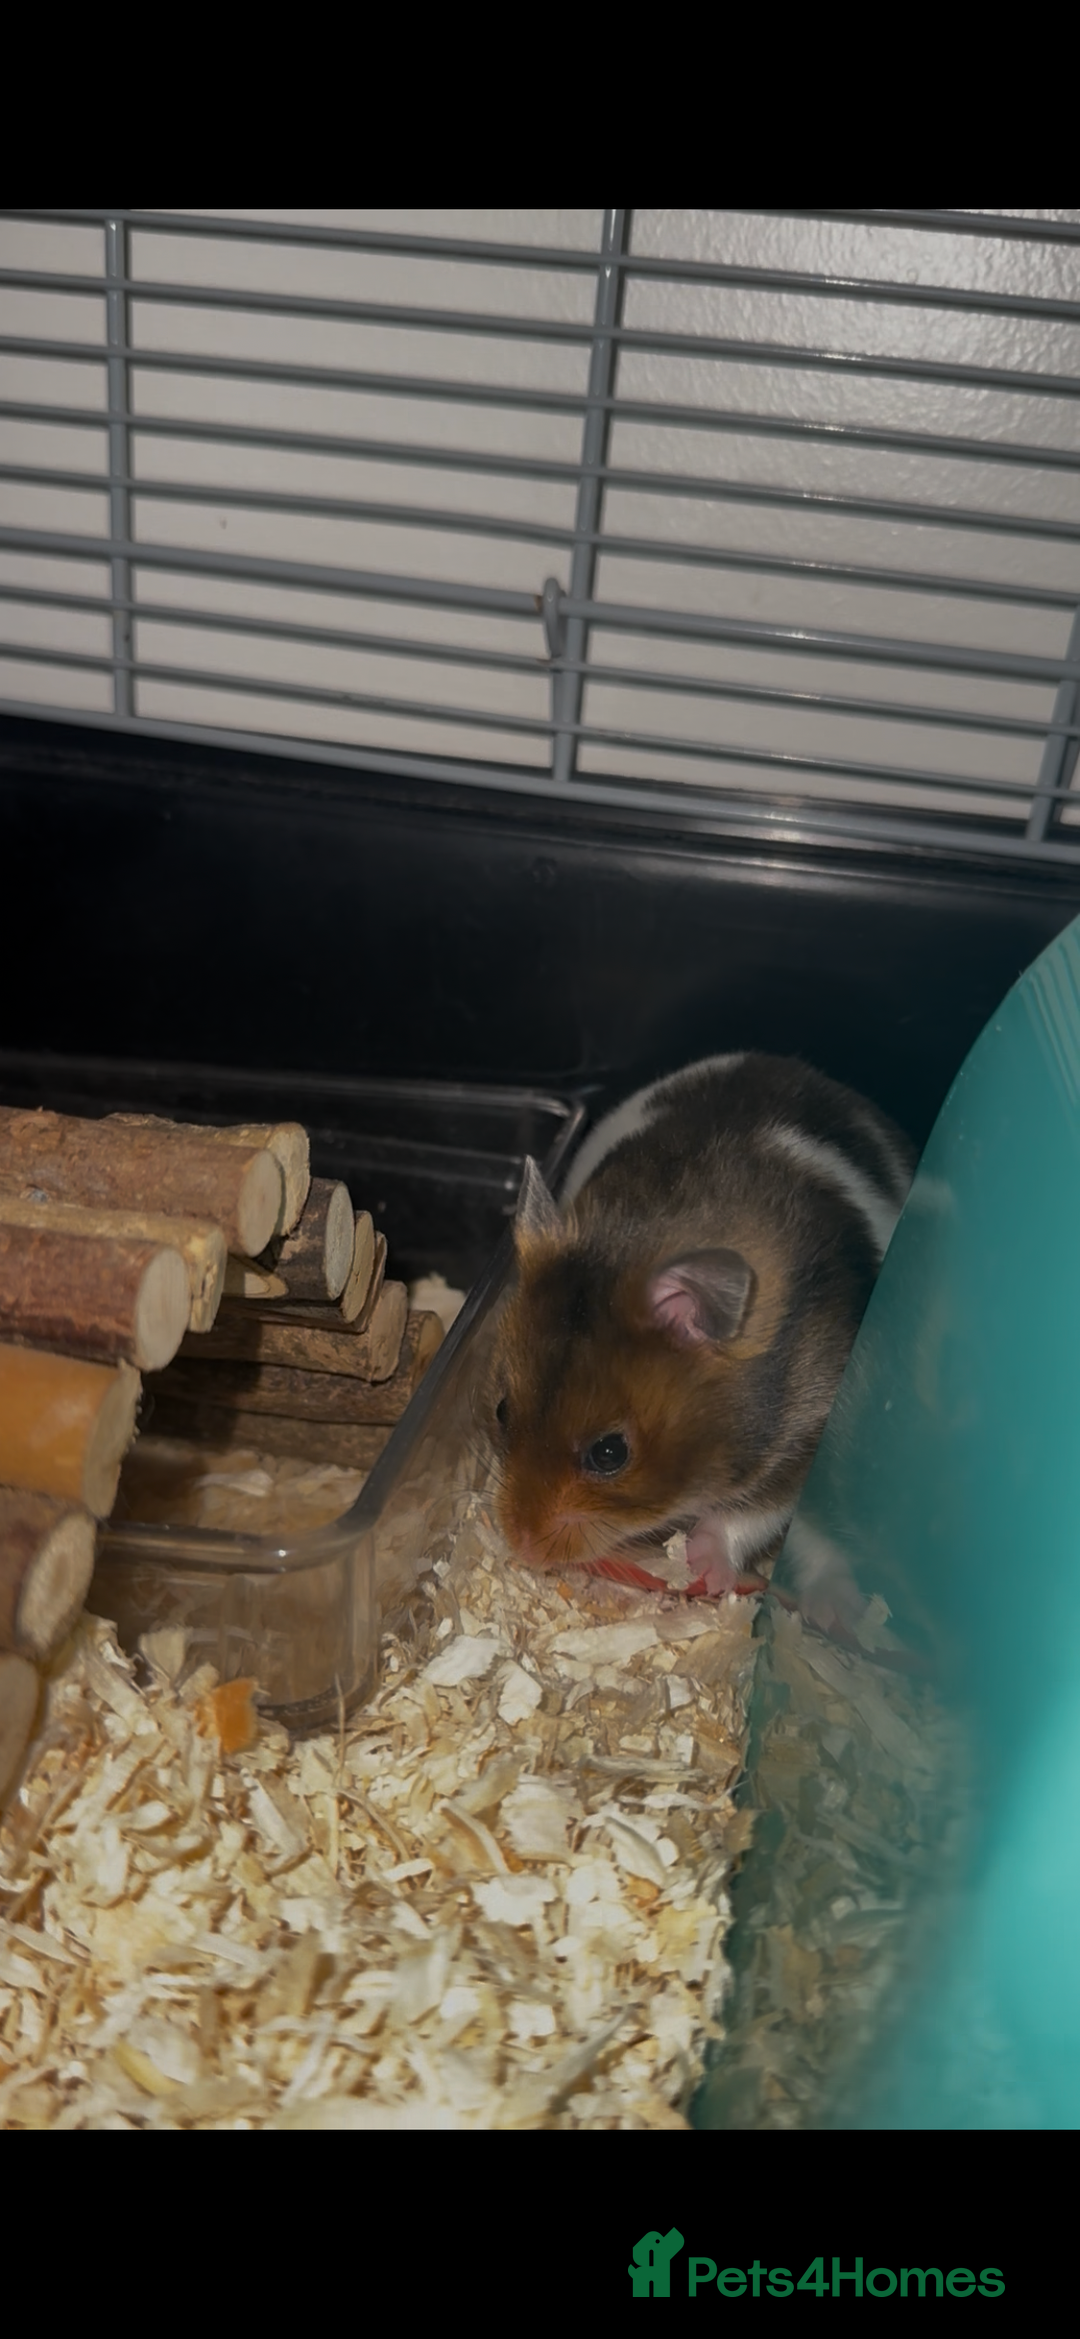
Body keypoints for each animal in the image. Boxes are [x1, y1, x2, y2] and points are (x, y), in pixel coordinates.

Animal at [486, 1051, 915, 1606]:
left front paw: (702, 1566)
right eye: (501, 1410)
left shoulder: (805, 1436)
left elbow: (755, 1512)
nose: (524, 1549)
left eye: (609, 1453)